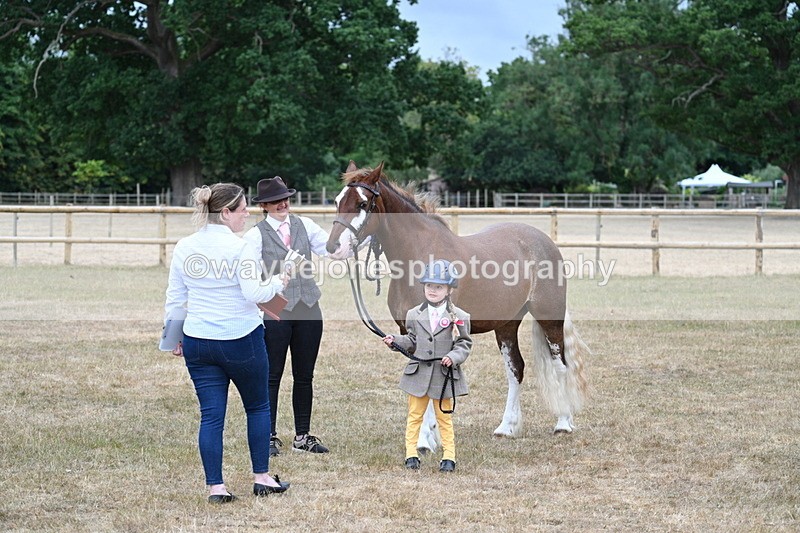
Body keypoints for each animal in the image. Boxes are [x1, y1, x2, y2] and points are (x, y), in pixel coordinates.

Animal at [326, 161, 589, 450]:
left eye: (362, 203)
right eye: (337, 201)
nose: (333, 247)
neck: (419, 258)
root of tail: (545, 242)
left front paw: (425, 441)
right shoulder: (410, 332)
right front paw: (428, 436)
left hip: (549, 319)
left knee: (560, 365)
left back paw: (563, 423)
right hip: (507, 324)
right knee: (515, 370)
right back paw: (506, 427)